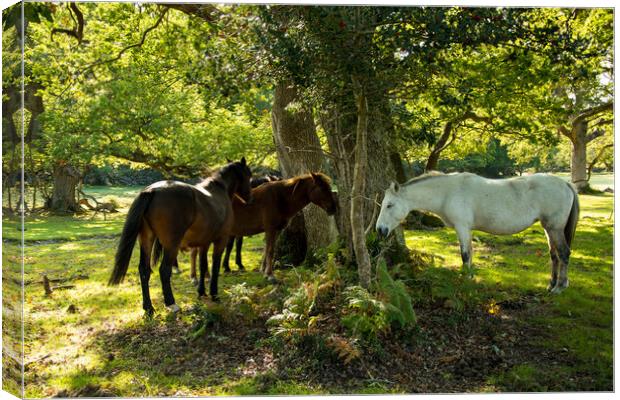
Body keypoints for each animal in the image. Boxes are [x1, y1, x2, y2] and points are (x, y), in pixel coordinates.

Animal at [109, 158, 252, 314]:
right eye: (249, 176)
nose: (249, 198)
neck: (219, 192)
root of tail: (152, 190)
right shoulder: (221, 240)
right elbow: (214, 266)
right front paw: (214, 294)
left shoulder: (204, 243)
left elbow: (203, 265)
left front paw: (201, 291)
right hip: (171, 245)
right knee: (164, 270)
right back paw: (171, 303)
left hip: (147, 239)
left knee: (144, 270)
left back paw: (148, 308)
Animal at [188, 173, 340, 282]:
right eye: (322, 188)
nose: (334, 208)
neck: (281, 198)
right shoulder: (271, 229)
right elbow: (271, 250)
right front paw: (270, 275)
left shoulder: (276, 230)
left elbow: (267, 250)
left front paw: (264, 272)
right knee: (196, 253)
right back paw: (199, 277)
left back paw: (201, 276)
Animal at [376, 173, 580, 294]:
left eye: (389, 205)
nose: (380, 230)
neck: (448, 192)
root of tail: (565, 183)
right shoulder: (467, 229)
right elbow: (471, 254)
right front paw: (471, 278)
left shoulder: (462, 227)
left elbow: (465, 255)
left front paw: (466, 280)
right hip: (549, 229)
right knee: (554, 255)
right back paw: (551, 284)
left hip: (554, 228)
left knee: (563, 253)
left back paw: (560, 287)